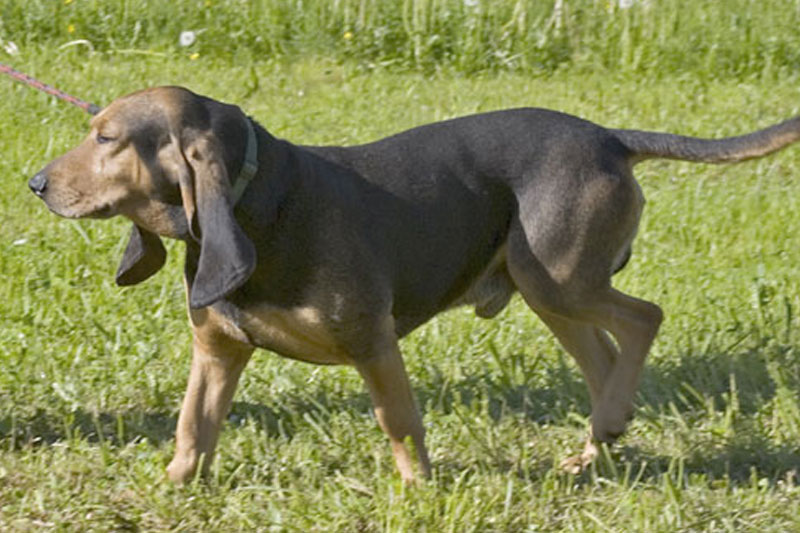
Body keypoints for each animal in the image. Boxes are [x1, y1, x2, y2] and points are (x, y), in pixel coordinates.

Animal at [28, 85, 796, 480]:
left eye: (106, 138)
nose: (35, 183)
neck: (258, 201)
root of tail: (608, 134)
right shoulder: (218, 351)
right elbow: (193, 427)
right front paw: (174, 489)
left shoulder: (373, 342)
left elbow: (399, 422)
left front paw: (417, 492)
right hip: (544, 283)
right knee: (605, 358)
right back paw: (593, 445)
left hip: (562, 278)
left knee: (643, 318)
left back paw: (603, 427)